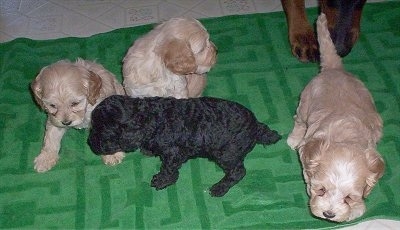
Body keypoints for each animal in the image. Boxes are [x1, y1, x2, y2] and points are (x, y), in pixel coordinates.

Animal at [87, 94, 282, 197]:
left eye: (101, 132)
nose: (89, 143)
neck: (149, 118)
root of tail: (256, 127)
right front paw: (147, 149)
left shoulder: (173, 153)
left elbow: (169, 170)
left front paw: (162, 181)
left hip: (226, 153)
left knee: (238, 171)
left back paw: (219, 188)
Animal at [288, 13, 384, 222]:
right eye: (321, 190)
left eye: (348, 197)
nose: (328, 214)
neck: (346, 137)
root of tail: (335, 68)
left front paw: (355, 210)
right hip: (306, 101)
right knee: (299, 120)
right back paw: (293, 138)